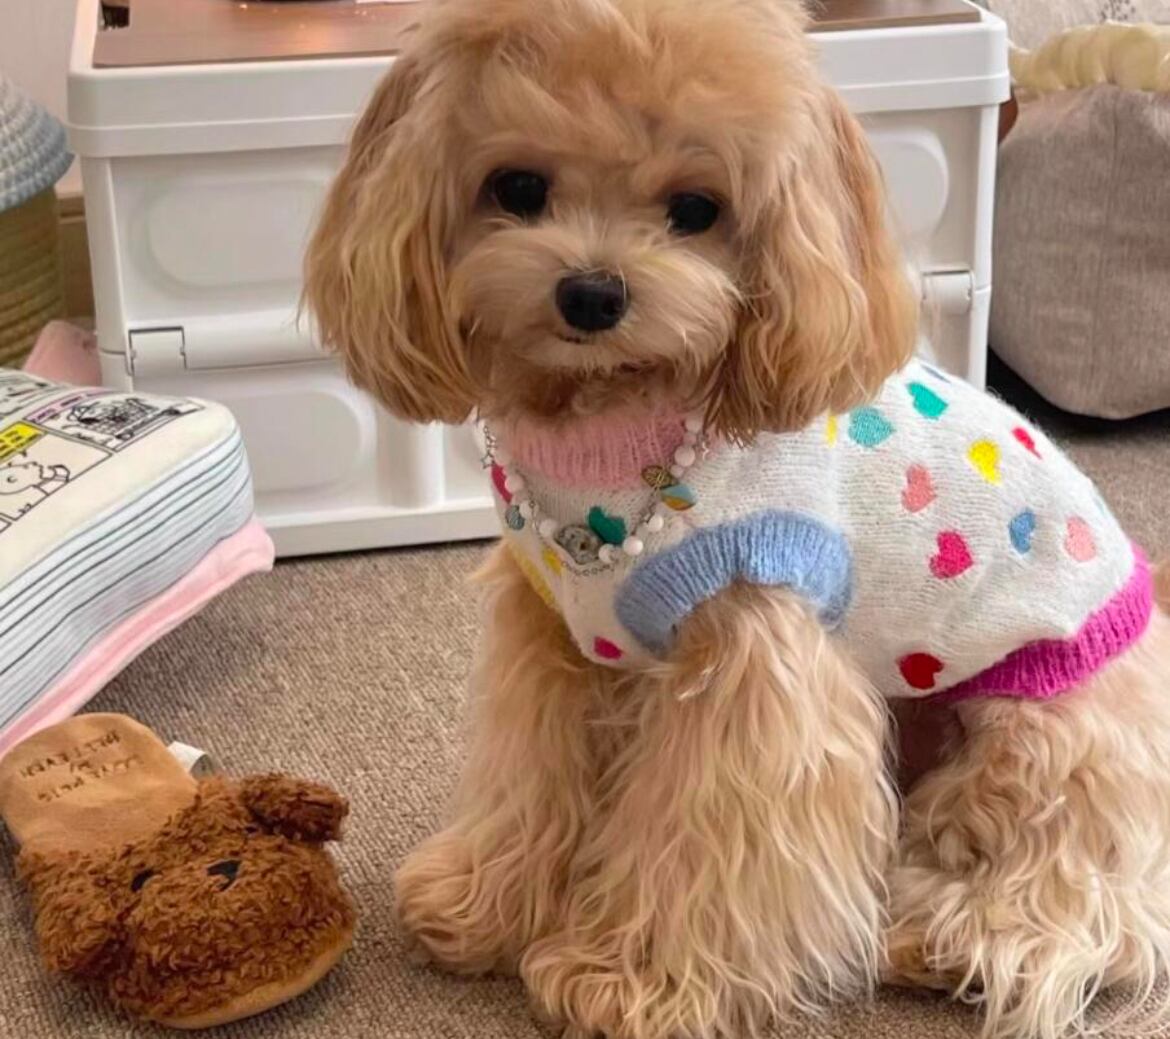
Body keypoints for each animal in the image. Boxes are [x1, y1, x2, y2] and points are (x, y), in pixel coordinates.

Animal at [304, 1, 1170, 1036]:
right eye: (518, 186)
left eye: (696, 208)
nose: (592, 292)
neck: (614, 430)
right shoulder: (552, 646)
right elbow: (531, 781)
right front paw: (486, 903)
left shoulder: (751, 671)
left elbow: (703, 835)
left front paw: (631, 979)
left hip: (1030, 742)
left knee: (1086, 903)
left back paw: (936, 937)